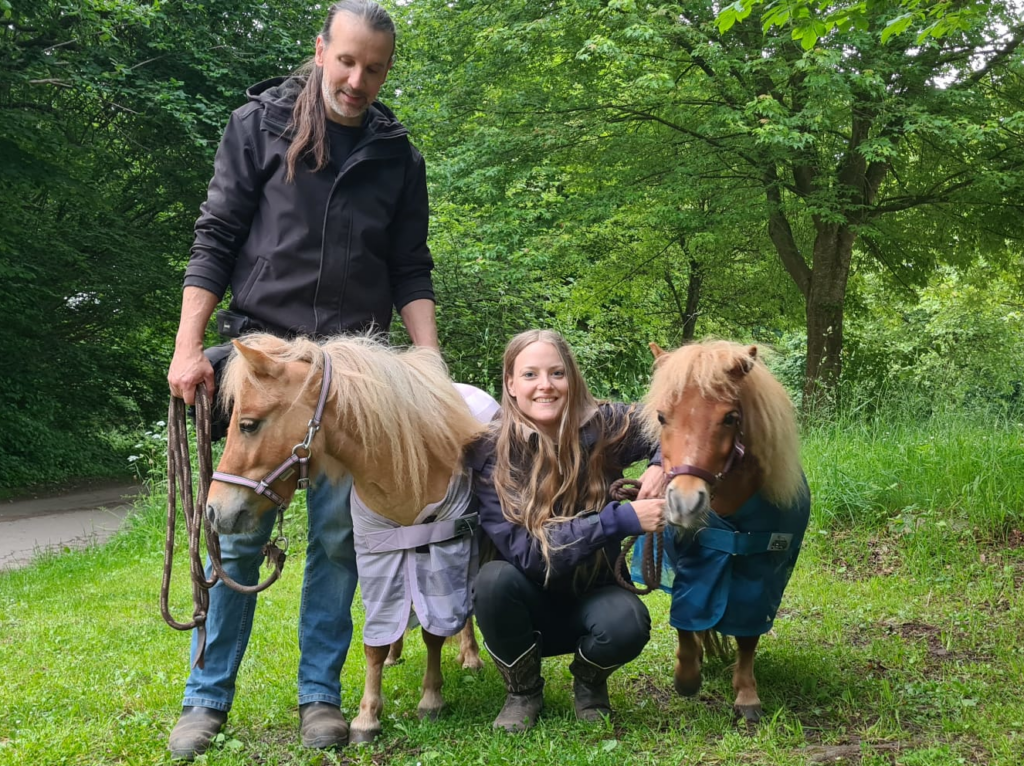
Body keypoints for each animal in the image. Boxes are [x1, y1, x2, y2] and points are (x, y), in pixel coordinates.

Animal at [206, 333, 487, 741]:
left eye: (248, 425)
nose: (214, 511)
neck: (405, 472)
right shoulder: (378, 559)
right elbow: (374, 641)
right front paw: (367, 716)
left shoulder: (443, 551)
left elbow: (434, 632)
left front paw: (431, 699)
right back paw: (397, 654)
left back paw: (471, 656)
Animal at [643, 342, 811, 725]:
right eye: (661, 417)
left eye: (730, 418)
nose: (685, 503)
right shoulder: (689, 564)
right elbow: (686, 620)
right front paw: (687, 678)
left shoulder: (764, 572)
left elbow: (748, 635)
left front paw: (747, 695)